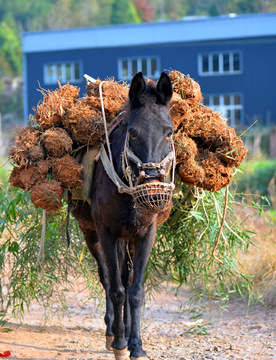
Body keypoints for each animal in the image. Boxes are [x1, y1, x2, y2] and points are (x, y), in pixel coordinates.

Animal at [71, 71, 175, 358]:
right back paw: (112, 331)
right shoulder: (106, 233)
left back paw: (126, 331)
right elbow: (115, 289)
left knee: (126, 278)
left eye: (169, 132)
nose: (152, 186)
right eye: (133, 132)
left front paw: (136, 345)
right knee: (107, 278)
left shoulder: (145, 234)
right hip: (91, 233)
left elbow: (135, 291)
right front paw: (119, 344)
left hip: (125, 238)